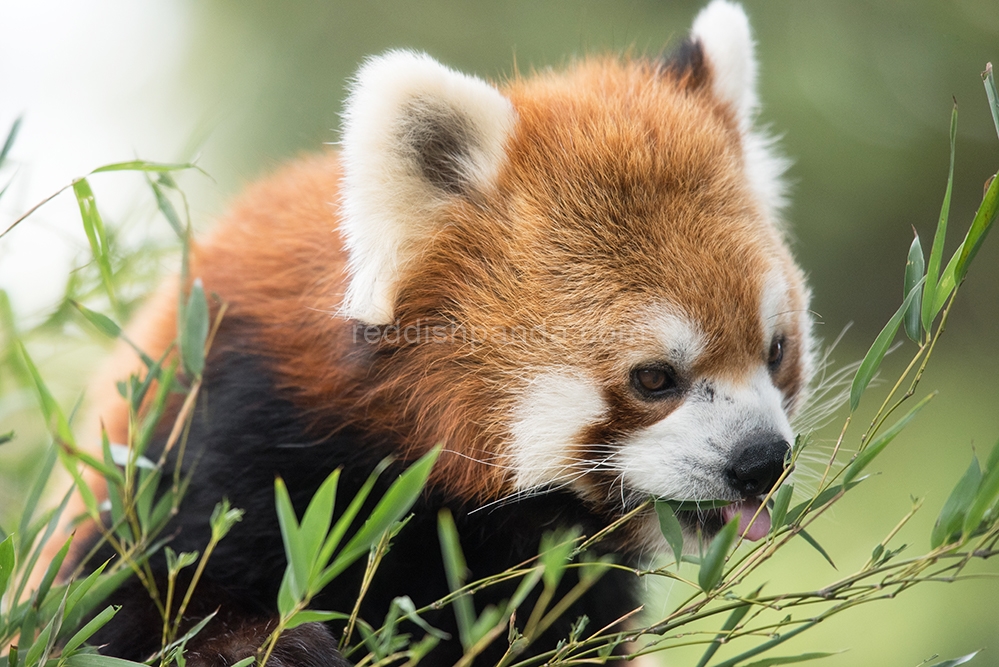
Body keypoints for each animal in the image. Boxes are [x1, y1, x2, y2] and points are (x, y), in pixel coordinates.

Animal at [68, 2, 820, 664]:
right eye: (654, 377)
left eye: (776, 351)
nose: (762, 461)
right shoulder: (216, 436)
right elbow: (116, 610)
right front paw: (271, 646)